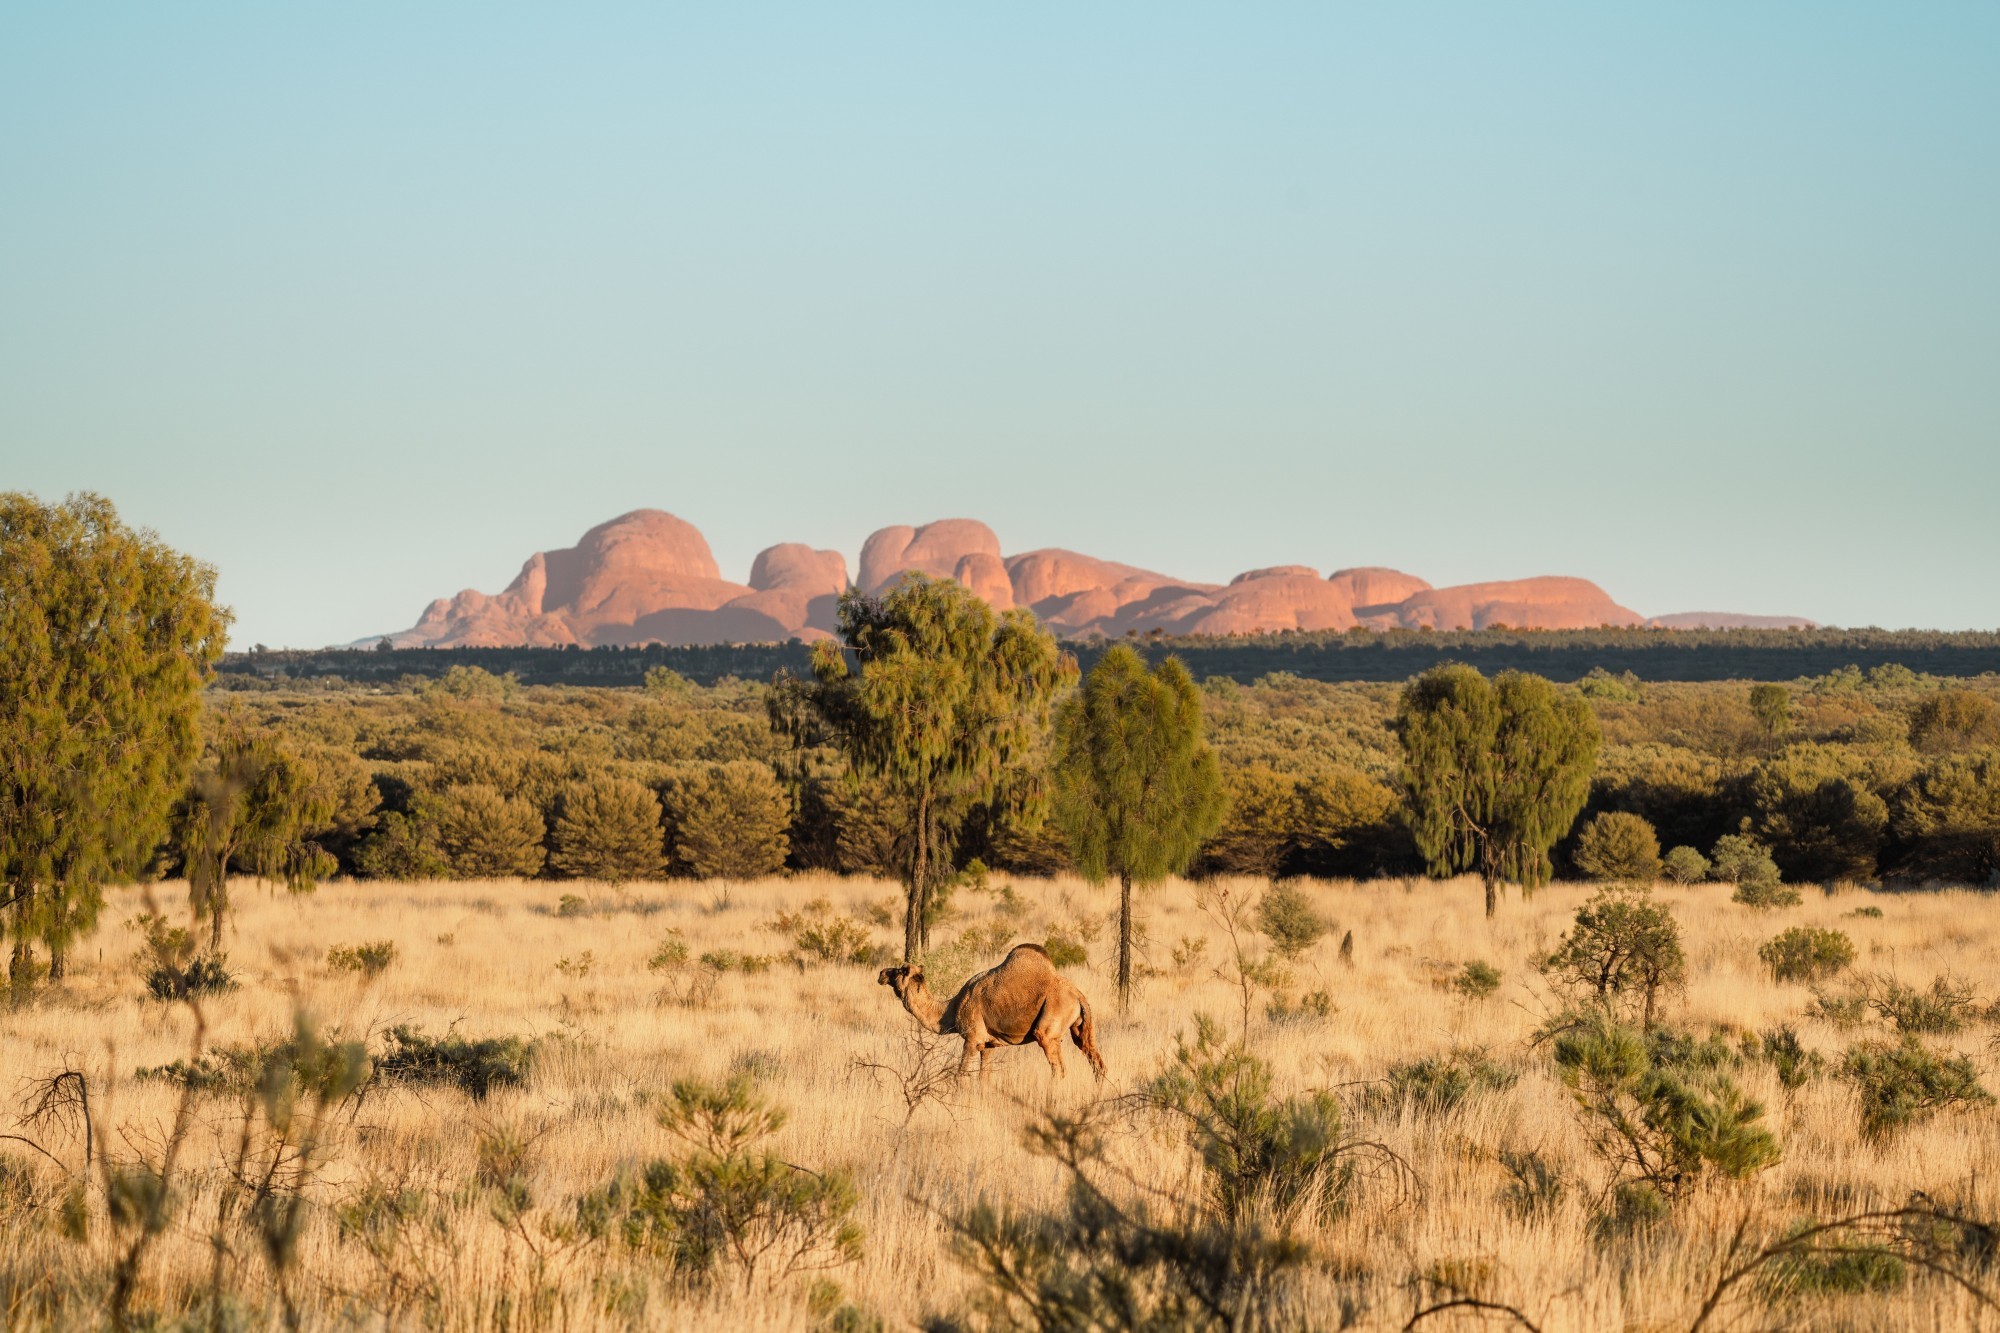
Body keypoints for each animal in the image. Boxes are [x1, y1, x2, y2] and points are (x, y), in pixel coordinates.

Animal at [877, 942, 1106, 1082]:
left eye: (899, 970)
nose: (881, 973)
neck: (951, 1009)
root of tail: (1079, 996)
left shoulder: (972, 1038)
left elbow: (961, 1075)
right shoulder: (988, 1044)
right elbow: (984, 1077)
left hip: (1049, 1028)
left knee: (1058, 1068)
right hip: (1080, 1028)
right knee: (1096, 1061)